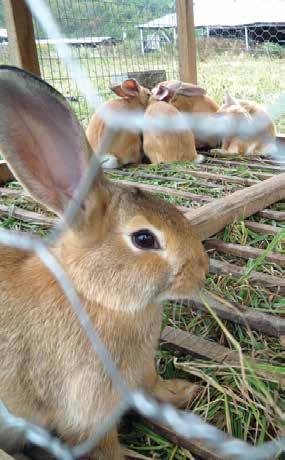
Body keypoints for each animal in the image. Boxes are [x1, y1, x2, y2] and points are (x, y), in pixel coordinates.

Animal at [0, 66, 207, 458]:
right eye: (144, 239)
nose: (202, 270)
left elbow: (153, 385)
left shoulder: (140, 372)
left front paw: (184, 392)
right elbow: (104, 446)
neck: (93, 295)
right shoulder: (87, 415)